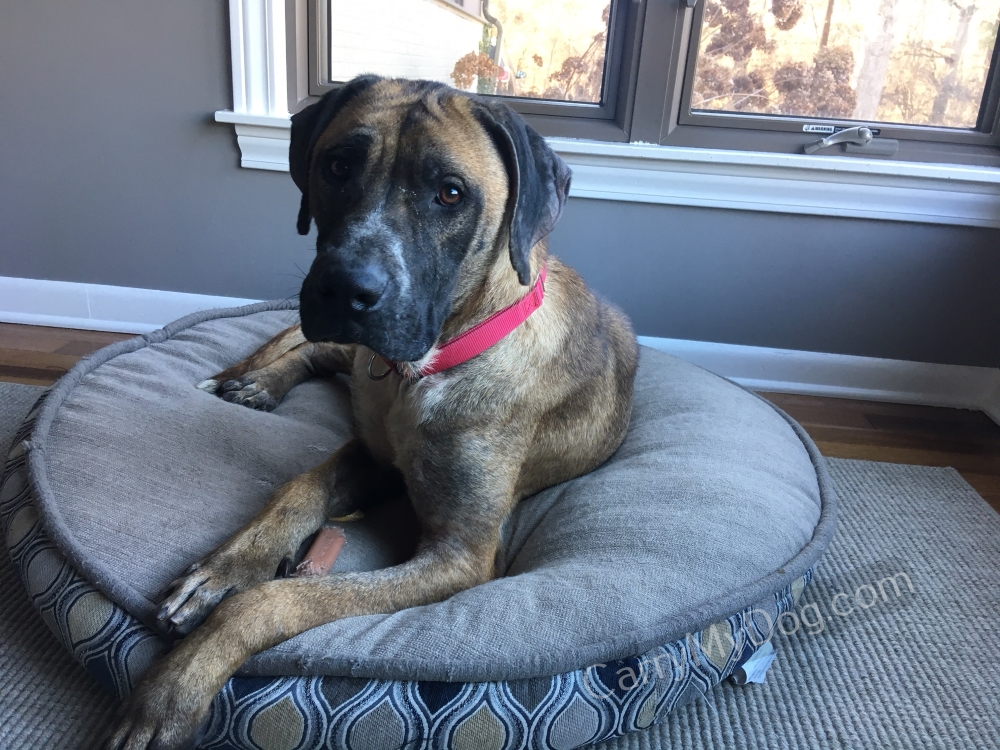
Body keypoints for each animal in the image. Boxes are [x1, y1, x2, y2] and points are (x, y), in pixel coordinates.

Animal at [109, 78, 636, 750]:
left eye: (450, 193)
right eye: (337, 166)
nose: (343, 288)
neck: (421, 373)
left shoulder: (458, 555)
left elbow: (272, 601)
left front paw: (173, 688)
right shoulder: (369, 453)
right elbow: (297, 490)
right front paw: (227, 566)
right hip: (346, 356)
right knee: (308, 346)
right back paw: (252, 379)